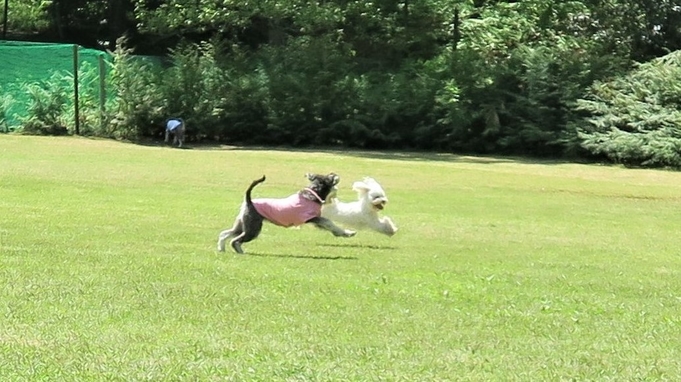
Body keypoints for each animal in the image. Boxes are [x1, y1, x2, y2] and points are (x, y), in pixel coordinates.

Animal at [216, 173, 356, 254]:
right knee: (235, 240)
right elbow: (330, 223)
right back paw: (240, 251)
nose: (334, 174)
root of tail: (249, 201)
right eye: (328, 178)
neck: (312, 195)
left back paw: (221, 248)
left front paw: (345, 233)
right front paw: (348, 232)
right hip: (253, 229)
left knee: (225, 233)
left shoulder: (316, 221)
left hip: (243, 225)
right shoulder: (313, 218)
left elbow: (330, 227)